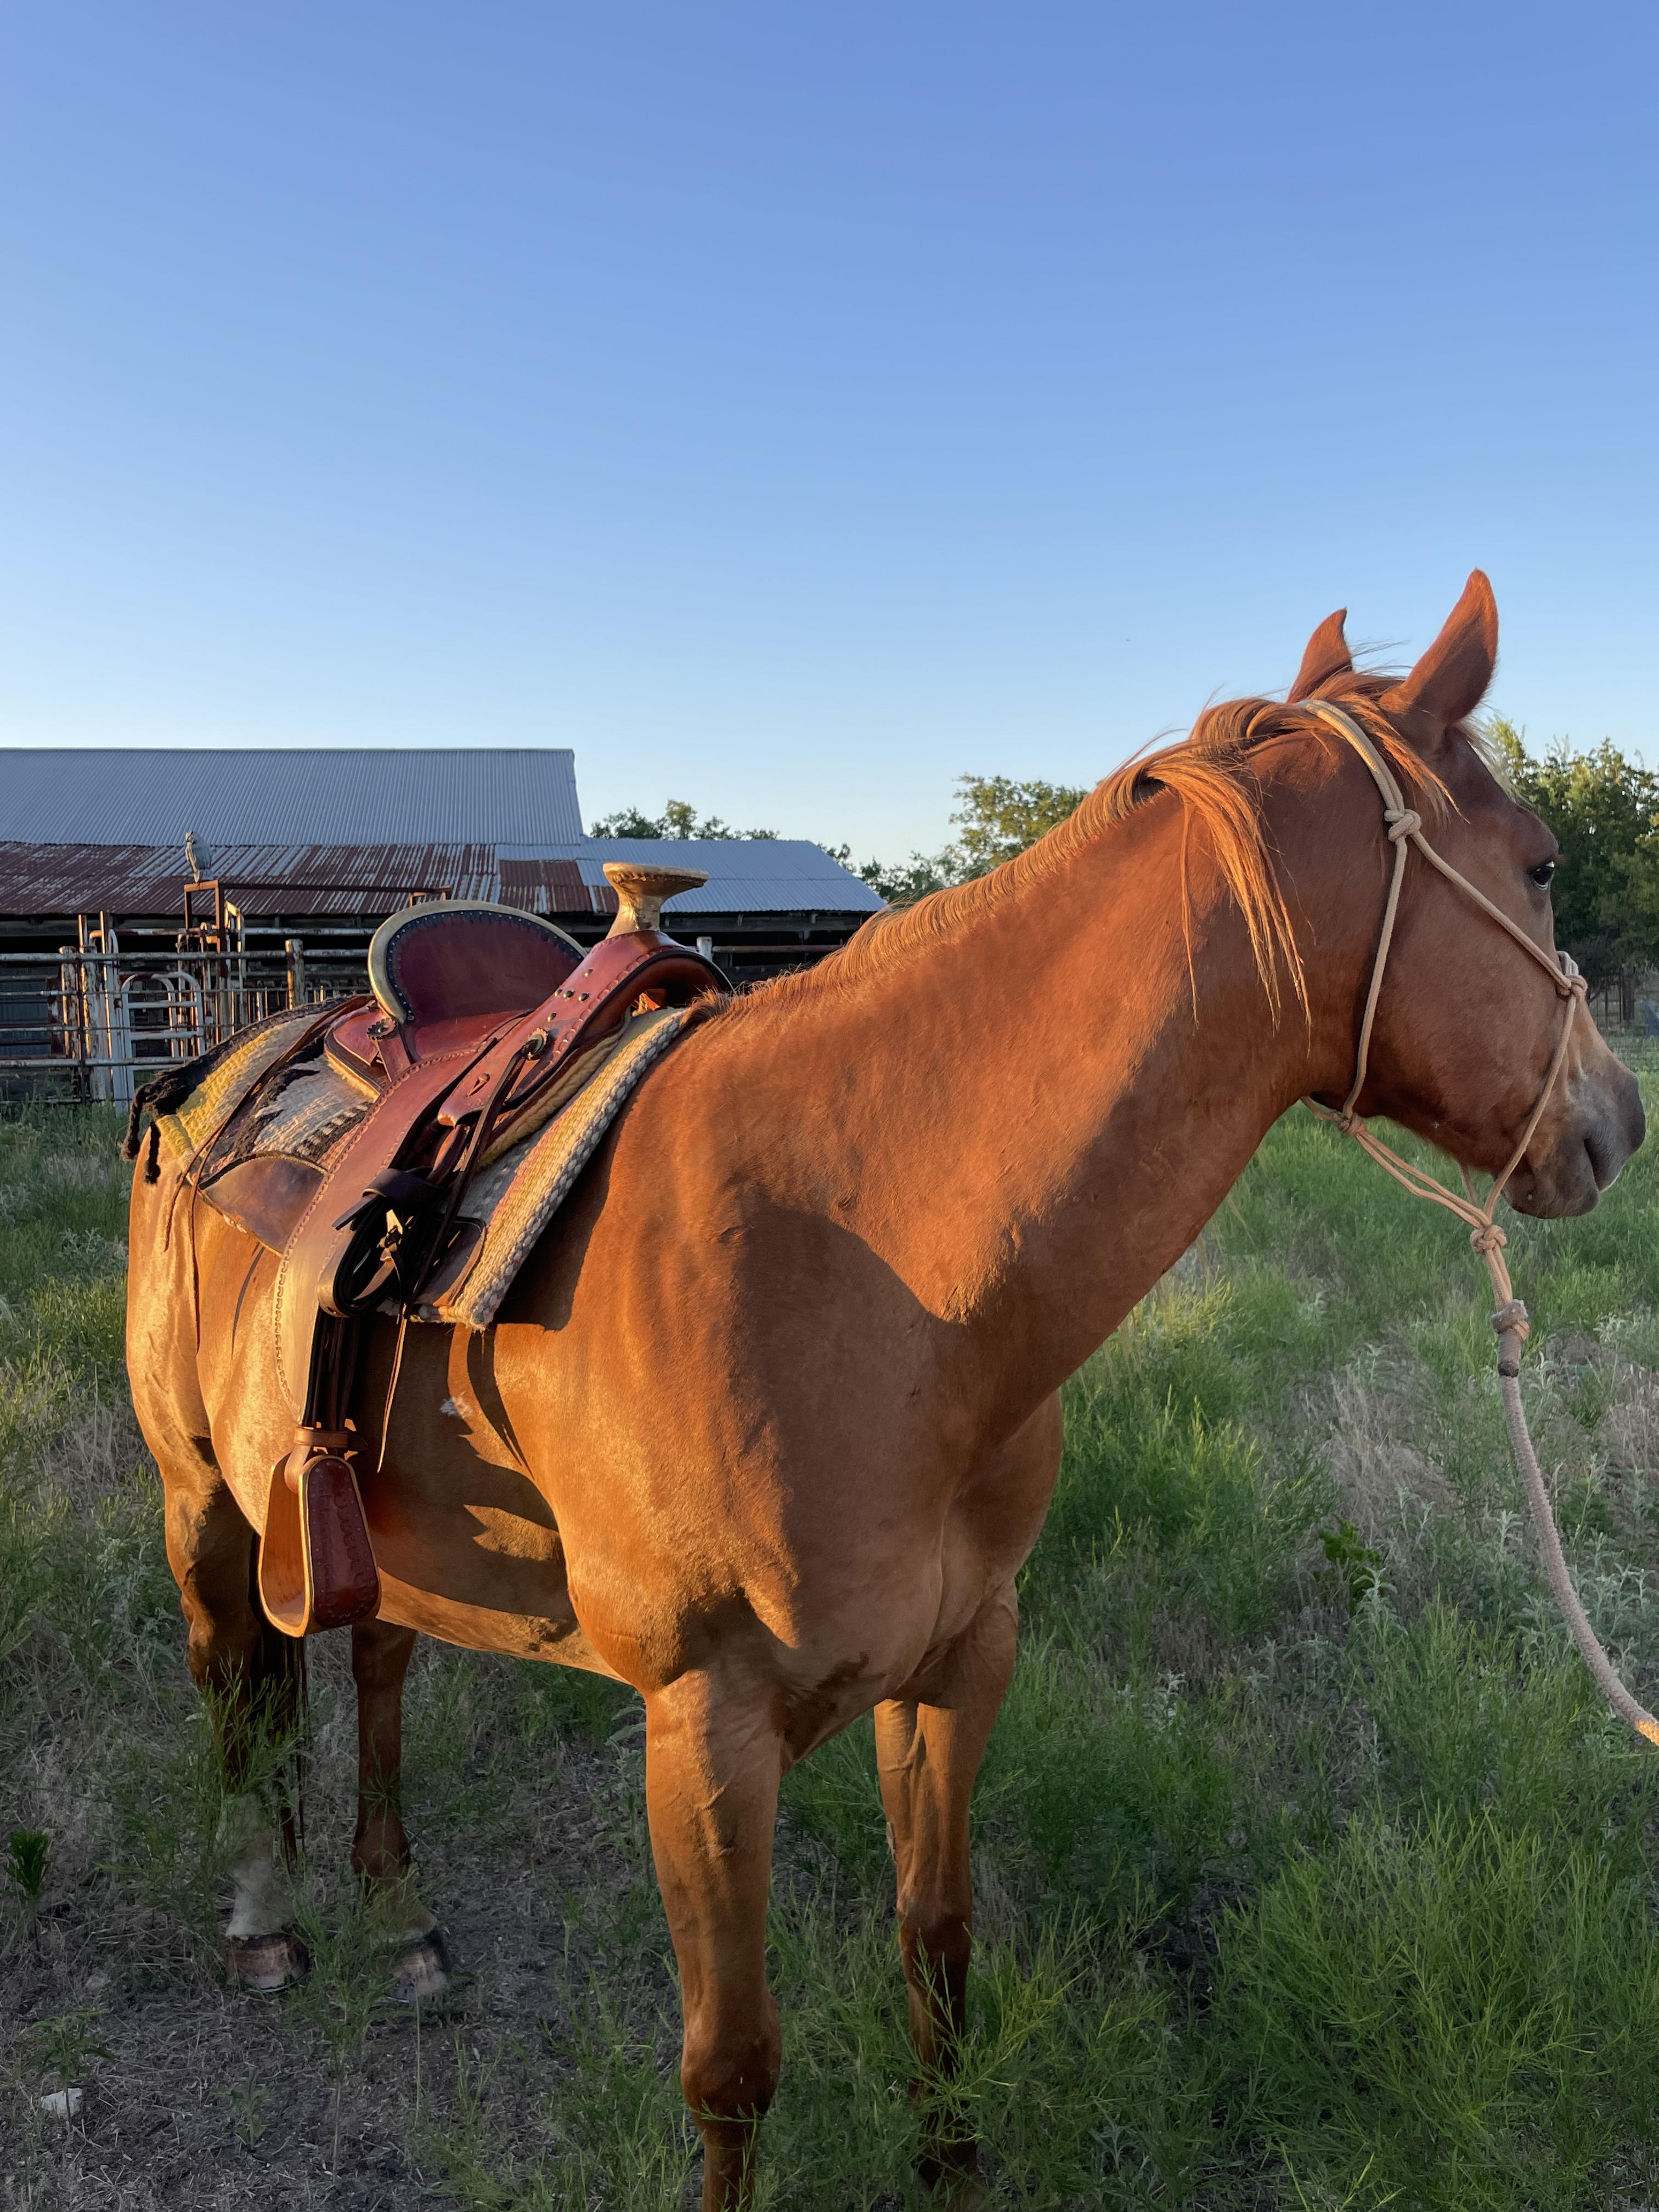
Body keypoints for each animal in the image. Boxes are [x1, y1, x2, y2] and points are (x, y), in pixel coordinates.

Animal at [129, 575, 1654, 2212]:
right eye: (1540, 864)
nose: (1620, 1121)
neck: (870, 1274)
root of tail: (227, 1060)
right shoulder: (707, 1727)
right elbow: (731, 2066)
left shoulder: (959, 1661)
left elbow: (940, 1946)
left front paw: (953, 2165)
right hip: (201, 1493)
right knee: (227, 1676)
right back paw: (264, 1918)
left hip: (368, 1514)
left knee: (376, 1665)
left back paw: (399, 1914)